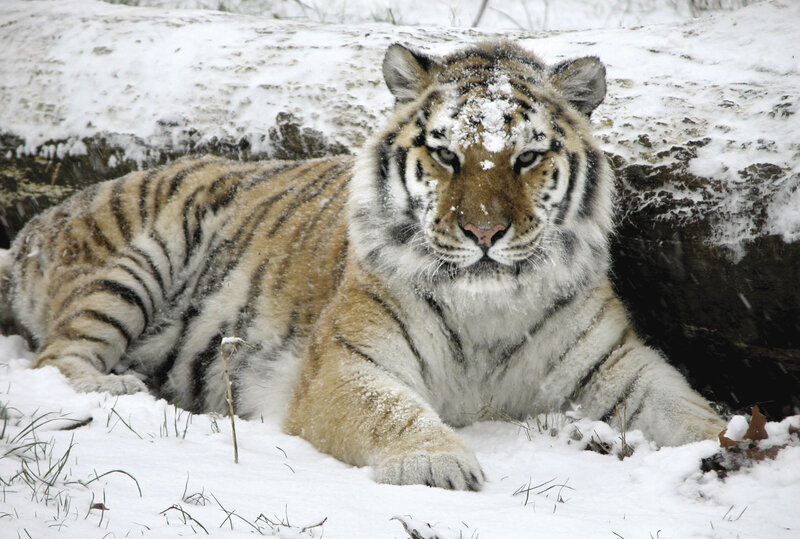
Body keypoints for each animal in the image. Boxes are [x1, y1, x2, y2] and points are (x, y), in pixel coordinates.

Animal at [0, 41, 725, 491]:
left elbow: (685, 407)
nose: (484, 231)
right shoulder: (347, 362)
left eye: (525, 158)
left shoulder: (616, 367)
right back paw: (119, 388)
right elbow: (392, 411)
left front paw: (730, 447)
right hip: (142, 259)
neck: (488, 307)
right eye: (447, 155)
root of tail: (38, 221)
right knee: (55, 358)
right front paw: (437, 464)